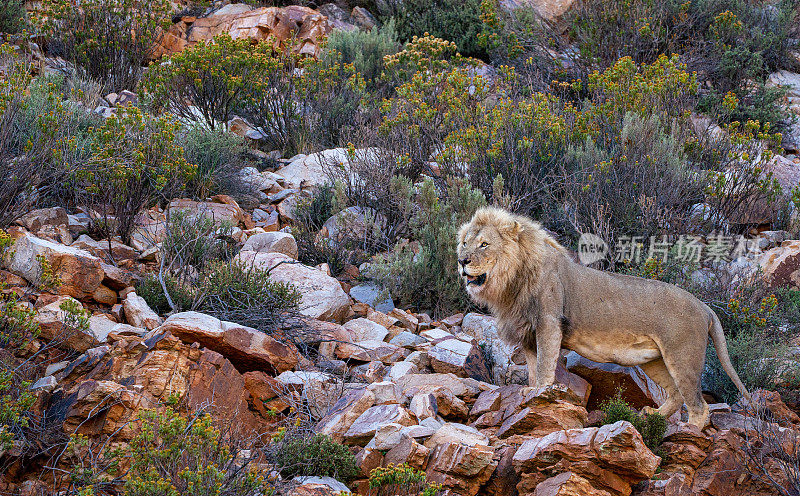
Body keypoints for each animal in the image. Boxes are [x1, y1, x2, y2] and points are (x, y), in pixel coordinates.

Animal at [456, 207, 752, 428]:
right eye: (464, 243)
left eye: (484, 244)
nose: (462, 261)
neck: (510, 282)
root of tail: (705, 306)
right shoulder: (527, 332)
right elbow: (531, 365)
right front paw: (530, 389)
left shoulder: (548, 323)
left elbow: (544, 364)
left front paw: (538, 390)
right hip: (655, 360)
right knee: (677, 394)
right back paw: (652, 417)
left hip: (683, 356)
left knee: (700, 406)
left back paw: (688, 430)